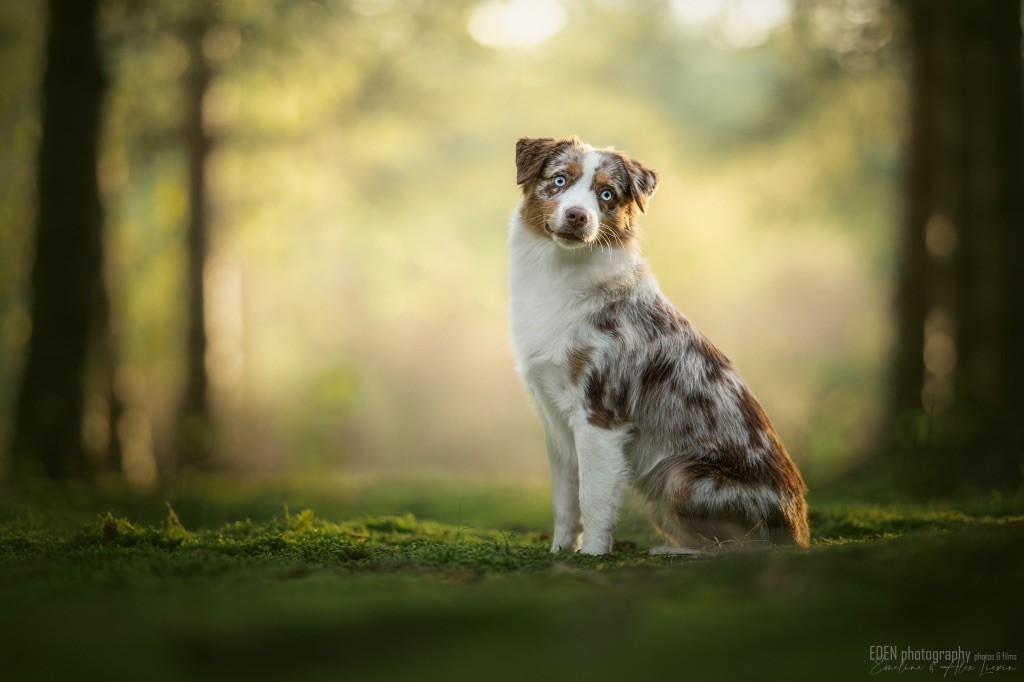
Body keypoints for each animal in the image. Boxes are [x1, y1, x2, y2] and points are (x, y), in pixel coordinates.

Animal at [507, 134, 811, 552]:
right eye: (559, 181)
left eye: (606, 194)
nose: (577, 217)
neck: (564, 270)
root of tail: (799, 531)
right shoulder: (555, 419)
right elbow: (565, 501)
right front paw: (559, 550)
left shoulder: (600, 414)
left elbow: (593, 496)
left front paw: (592, 554)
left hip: (678, 476)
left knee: (745, 547)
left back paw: (676, 550)